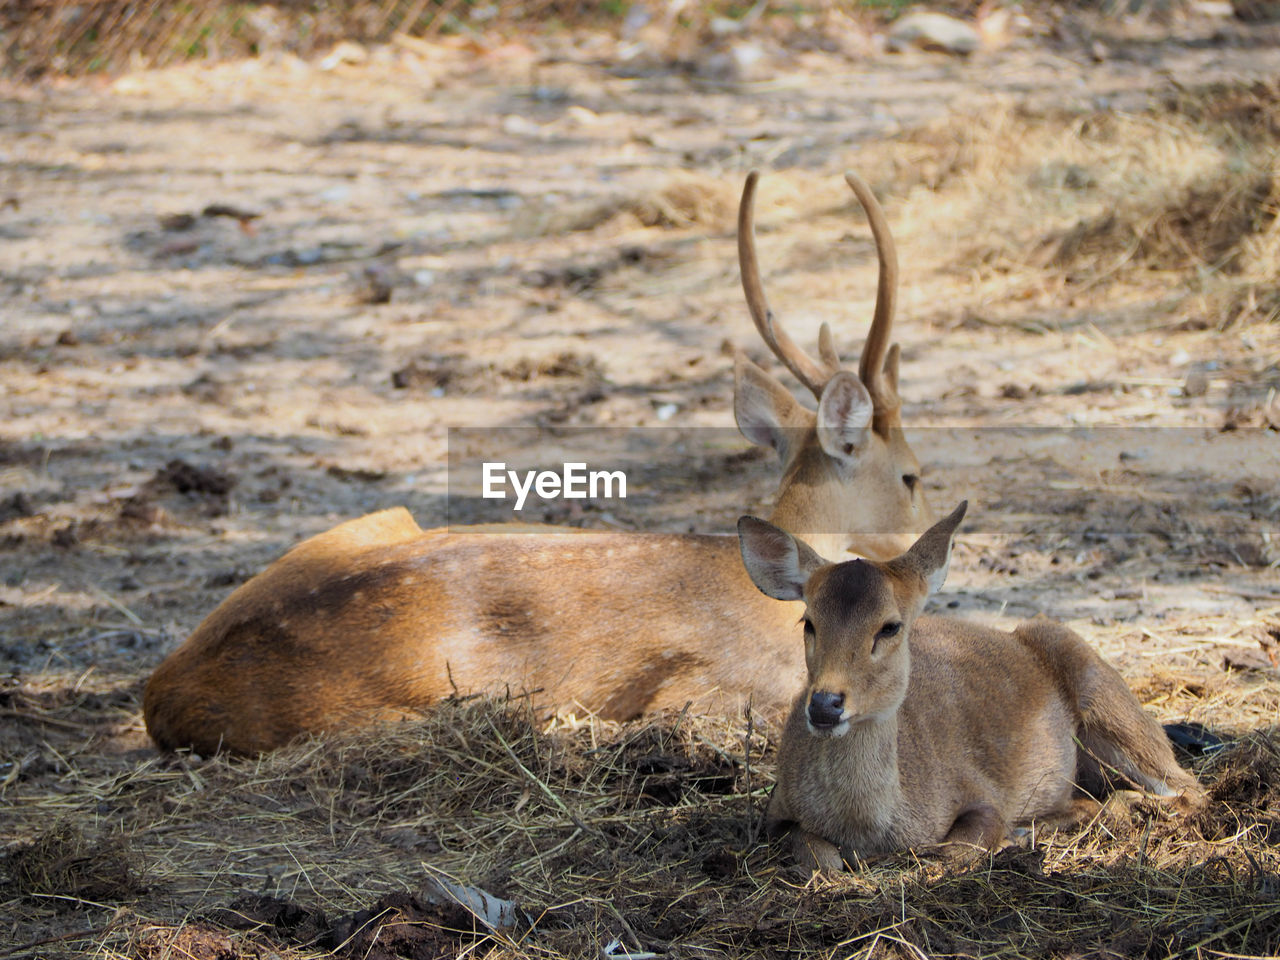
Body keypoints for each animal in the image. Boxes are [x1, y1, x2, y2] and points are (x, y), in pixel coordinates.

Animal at [737, 506, 1203, 875]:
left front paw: (1009, 836)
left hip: (1102, 688)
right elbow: (816, 855)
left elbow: (952, 850)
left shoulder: (977, 789)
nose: (825, 705)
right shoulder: (777, 809)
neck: (869, 827)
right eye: (809, 622)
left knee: (1187, 788)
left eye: (889, 626)